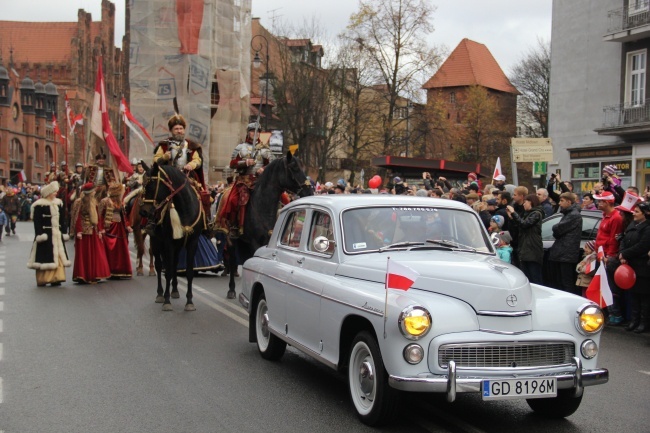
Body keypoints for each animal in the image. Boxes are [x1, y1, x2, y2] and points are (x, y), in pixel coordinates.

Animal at [139, 163, 202, 310]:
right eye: (143, 185)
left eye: (151, 186)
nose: (143, 211)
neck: (185, 210)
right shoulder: (168, 244)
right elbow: (167, 271)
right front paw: (166, 301)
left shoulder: (192, 243)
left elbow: (188, 272)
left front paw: (189, 302)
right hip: (156, 242)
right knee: (158, 265)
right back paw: (160, 294)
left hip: (177, 247)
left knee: (174, 264)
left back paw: (174, 291)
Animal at [223, 150, 314, 298]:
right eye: (294, 168)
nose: (310, 192)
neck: (263, 207)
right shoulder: (254, 242)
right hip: (231, 238)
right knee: (231, 260)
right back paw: (231, 289)